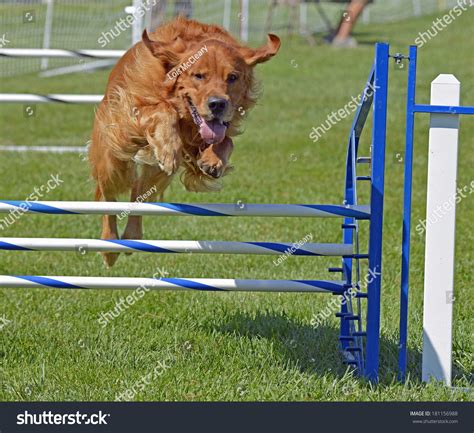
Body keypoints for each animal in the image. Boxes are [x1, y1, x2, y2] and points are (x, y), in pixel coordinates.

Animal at [89, 17, 280, 266]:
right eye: (198, 76)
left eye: (232, 77)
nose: (217, 104)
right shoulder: (129, 116)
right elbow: (163, 109)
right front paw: (169, 148)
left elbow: (226, 141)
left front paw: (213, 161)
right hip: (113, 158)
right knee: (108, 195)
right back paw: (109, 244)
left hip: (155, 173)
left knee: (139, 191)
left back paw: (132, 236)